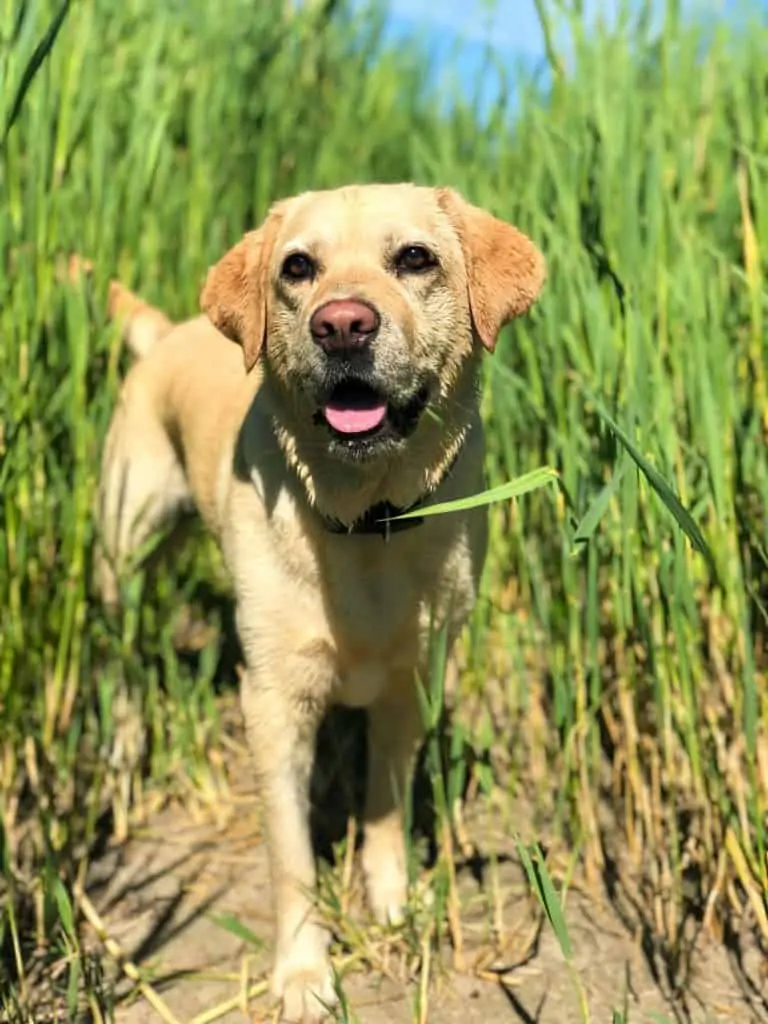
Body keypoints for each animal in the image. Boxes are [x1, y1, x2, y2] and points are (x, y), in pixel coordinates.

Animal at [94, 182, 548, 1015]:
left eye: (415, 258)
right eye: (299, 267)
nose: (341, 325)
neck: (367, 520)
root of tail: (169, 332)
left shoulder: (414, 682)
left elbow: (386, 805)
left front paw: (392, 901)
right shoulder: (274, 705)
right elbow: (292, 859)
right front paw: (304, 974)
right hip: (124, 545)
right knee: (118, 653)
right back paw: (123, 742)